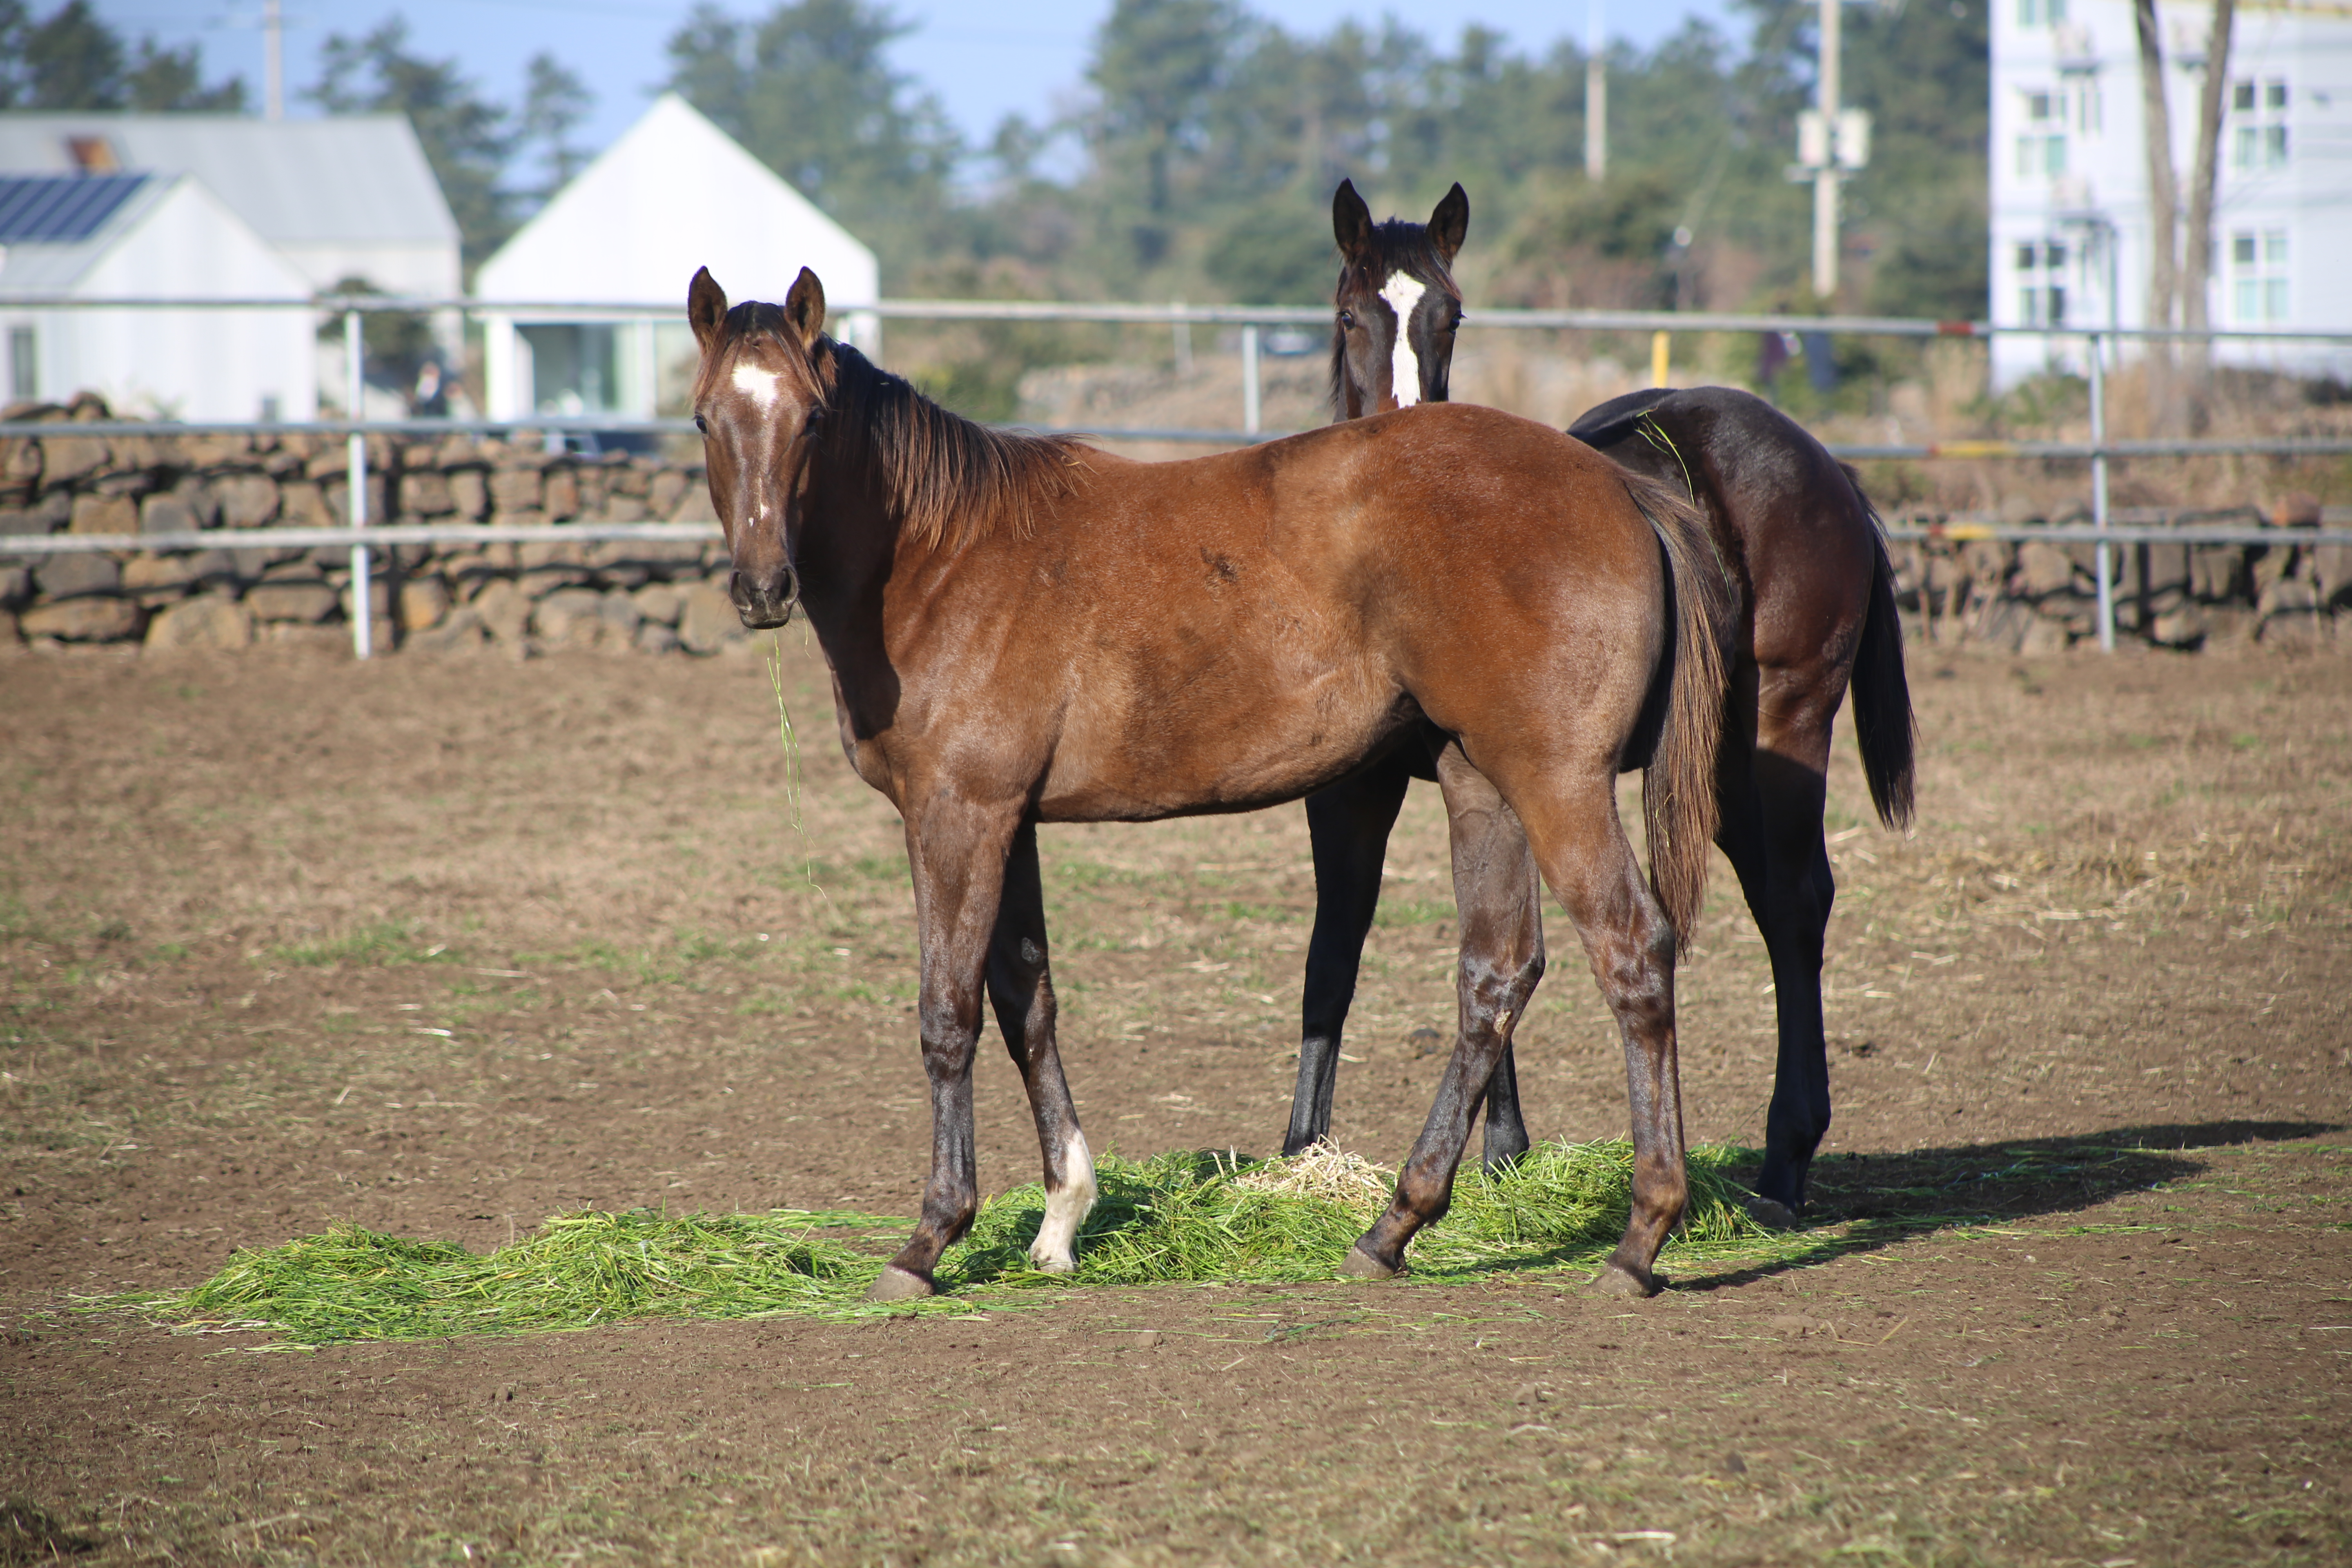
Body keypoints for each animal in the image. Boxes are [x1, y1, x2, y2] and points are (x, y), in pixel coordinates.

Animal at [682, 267, 1731, 1297]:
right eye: (704, 419)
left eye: (812, 420)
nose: (762, 588)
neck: (944, 556)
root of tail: (1619, 486)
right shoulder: (1009, 821)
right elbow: (1028, 1001)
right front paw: (1062, 1218)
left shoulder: (957, 815)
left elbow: (949, 1014)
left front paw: (929, 1239)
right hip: (1480, 782)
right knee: (1495, 974)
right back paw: (1392, 1227)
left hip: (1557, 782)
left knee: (1631, 949)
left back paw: (1639, 1239)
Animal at [1289, 177, 1929, 1222]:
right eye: (1351, 316)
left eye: (1449, 316)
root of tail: (1827, 468)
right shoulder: (1356, 791)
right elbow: (1337, 956)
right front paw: (1307, 1154)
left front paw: (1490, 1155)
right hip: (1714, 761)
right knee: (1776, 898)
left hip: (1781, 732)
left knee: (1796, 906)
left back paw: (1785, 1160)